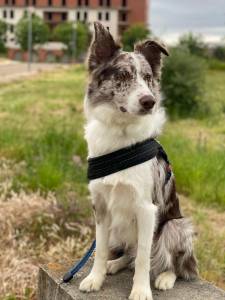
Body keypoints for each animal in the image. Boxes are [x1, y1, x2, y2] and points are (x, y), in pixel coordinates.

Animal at [78, 21, 197, 300]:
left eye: (148, 78)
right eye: (122, 76)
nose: (149, 101)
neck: (121, 136)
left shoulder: (146, 208)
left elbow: (144, 256)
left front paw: (141, 290)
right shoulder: (101, 206)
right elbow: (100, 250)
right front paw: (95, 278)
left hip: (176, 226)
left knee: (171, 263)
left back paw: (165, 277)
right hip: (120, 230)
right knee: (129, 254)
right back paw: (115, 264)